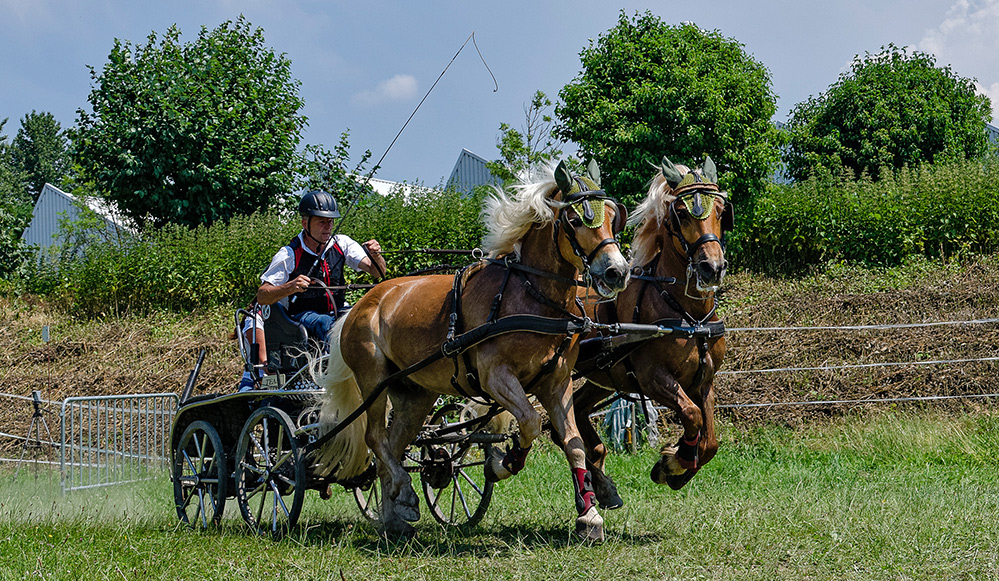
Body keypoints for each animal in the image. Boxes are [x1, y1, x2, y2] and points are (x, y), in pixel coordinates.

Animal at [312, 160, 628, 540]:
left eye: (612, 216)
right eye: (576, 220)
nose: (617, 271)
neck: (531, 295)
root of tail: (360, 304)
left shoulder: (557, 383)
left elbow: (573, 443)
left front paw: (589, 514)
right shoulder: (496, 378)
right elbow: (529, 423)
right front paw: (503, 462)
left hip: (415, 394)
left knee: (393, 444)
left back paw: (396, 513)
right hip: (374, 382)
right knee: (376, 439)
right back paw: (403, 494)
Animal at [572, 156, 736, 506]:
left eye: (720, 211)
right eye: (683, 213)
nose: (712, 268)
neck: (690, 316)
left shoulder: (705, 380)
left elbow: (710, 441)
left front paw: (677, 464)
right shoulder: (653, 378)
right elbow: (691, 415)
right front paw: (674, 462)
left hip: (603, 375)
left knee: (577, 408)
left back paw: (600, 478)